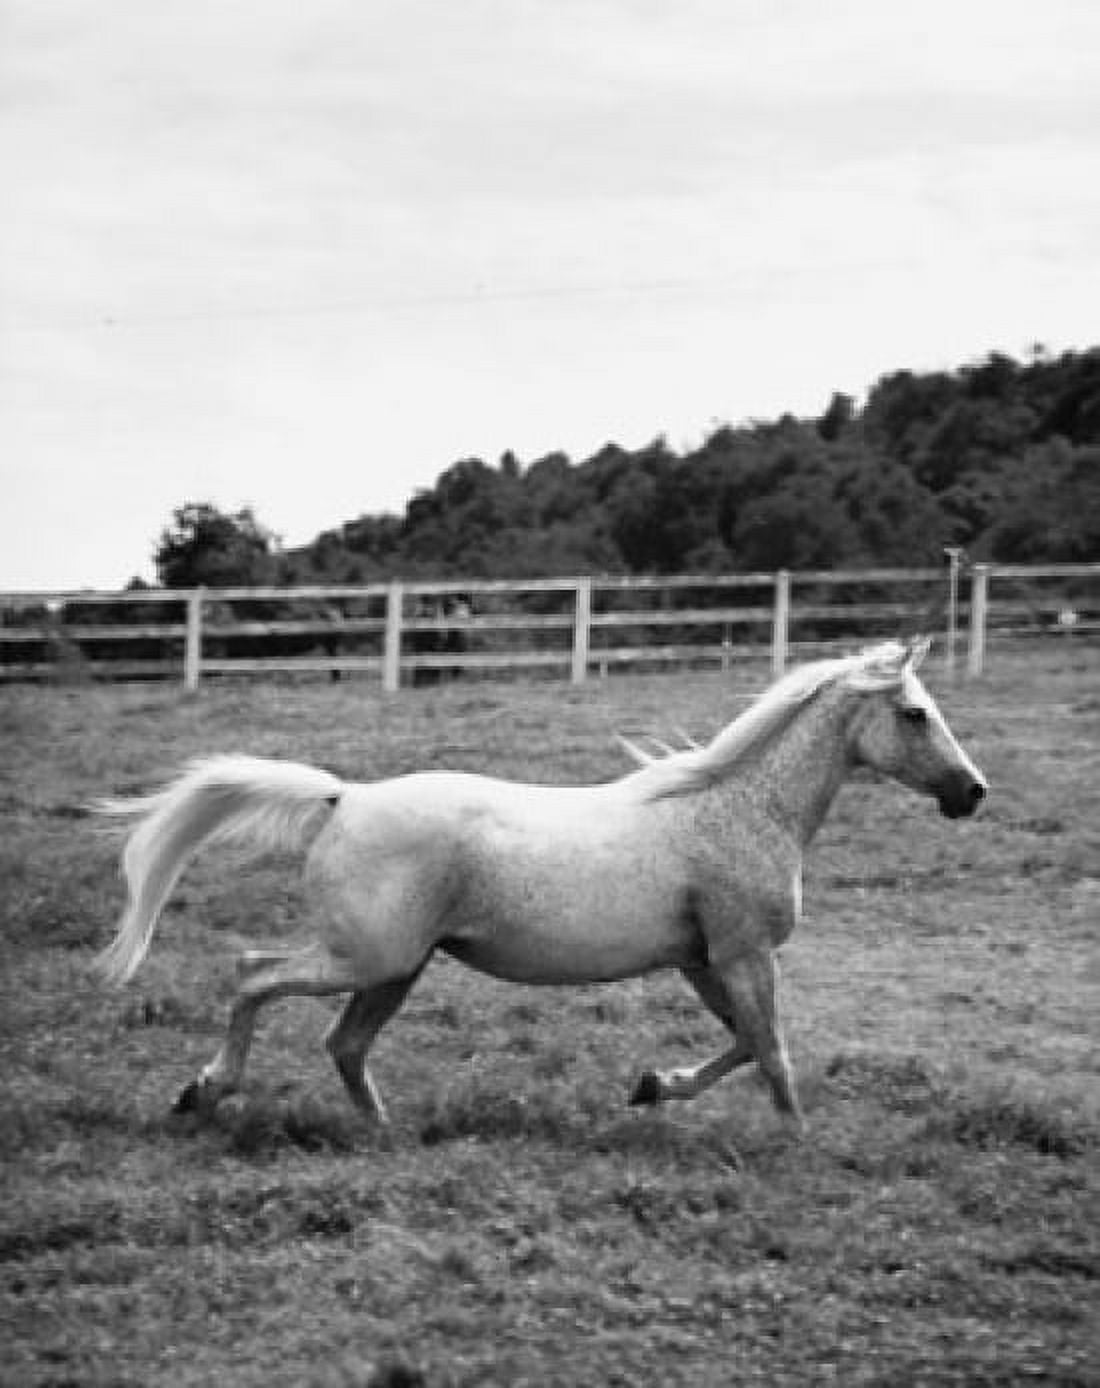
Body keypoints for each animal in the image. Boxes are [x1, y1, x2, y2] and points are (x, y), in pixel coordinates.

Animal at [94, 636, 986, 1130]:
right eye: (914, 713)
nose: (973, 793)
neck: (736, 806)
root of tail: (344, 796)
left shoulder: (705, 959)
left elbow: (741, 1041)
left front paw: (651, 1086)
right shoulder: (743, 952)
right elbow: (769, 1047)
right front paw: (795, 1138)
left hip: (397, 967)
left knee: (343, 1043)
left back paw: (383, 1131)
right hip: (370, 959)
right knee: (254, 975)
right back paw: (205, 1092)